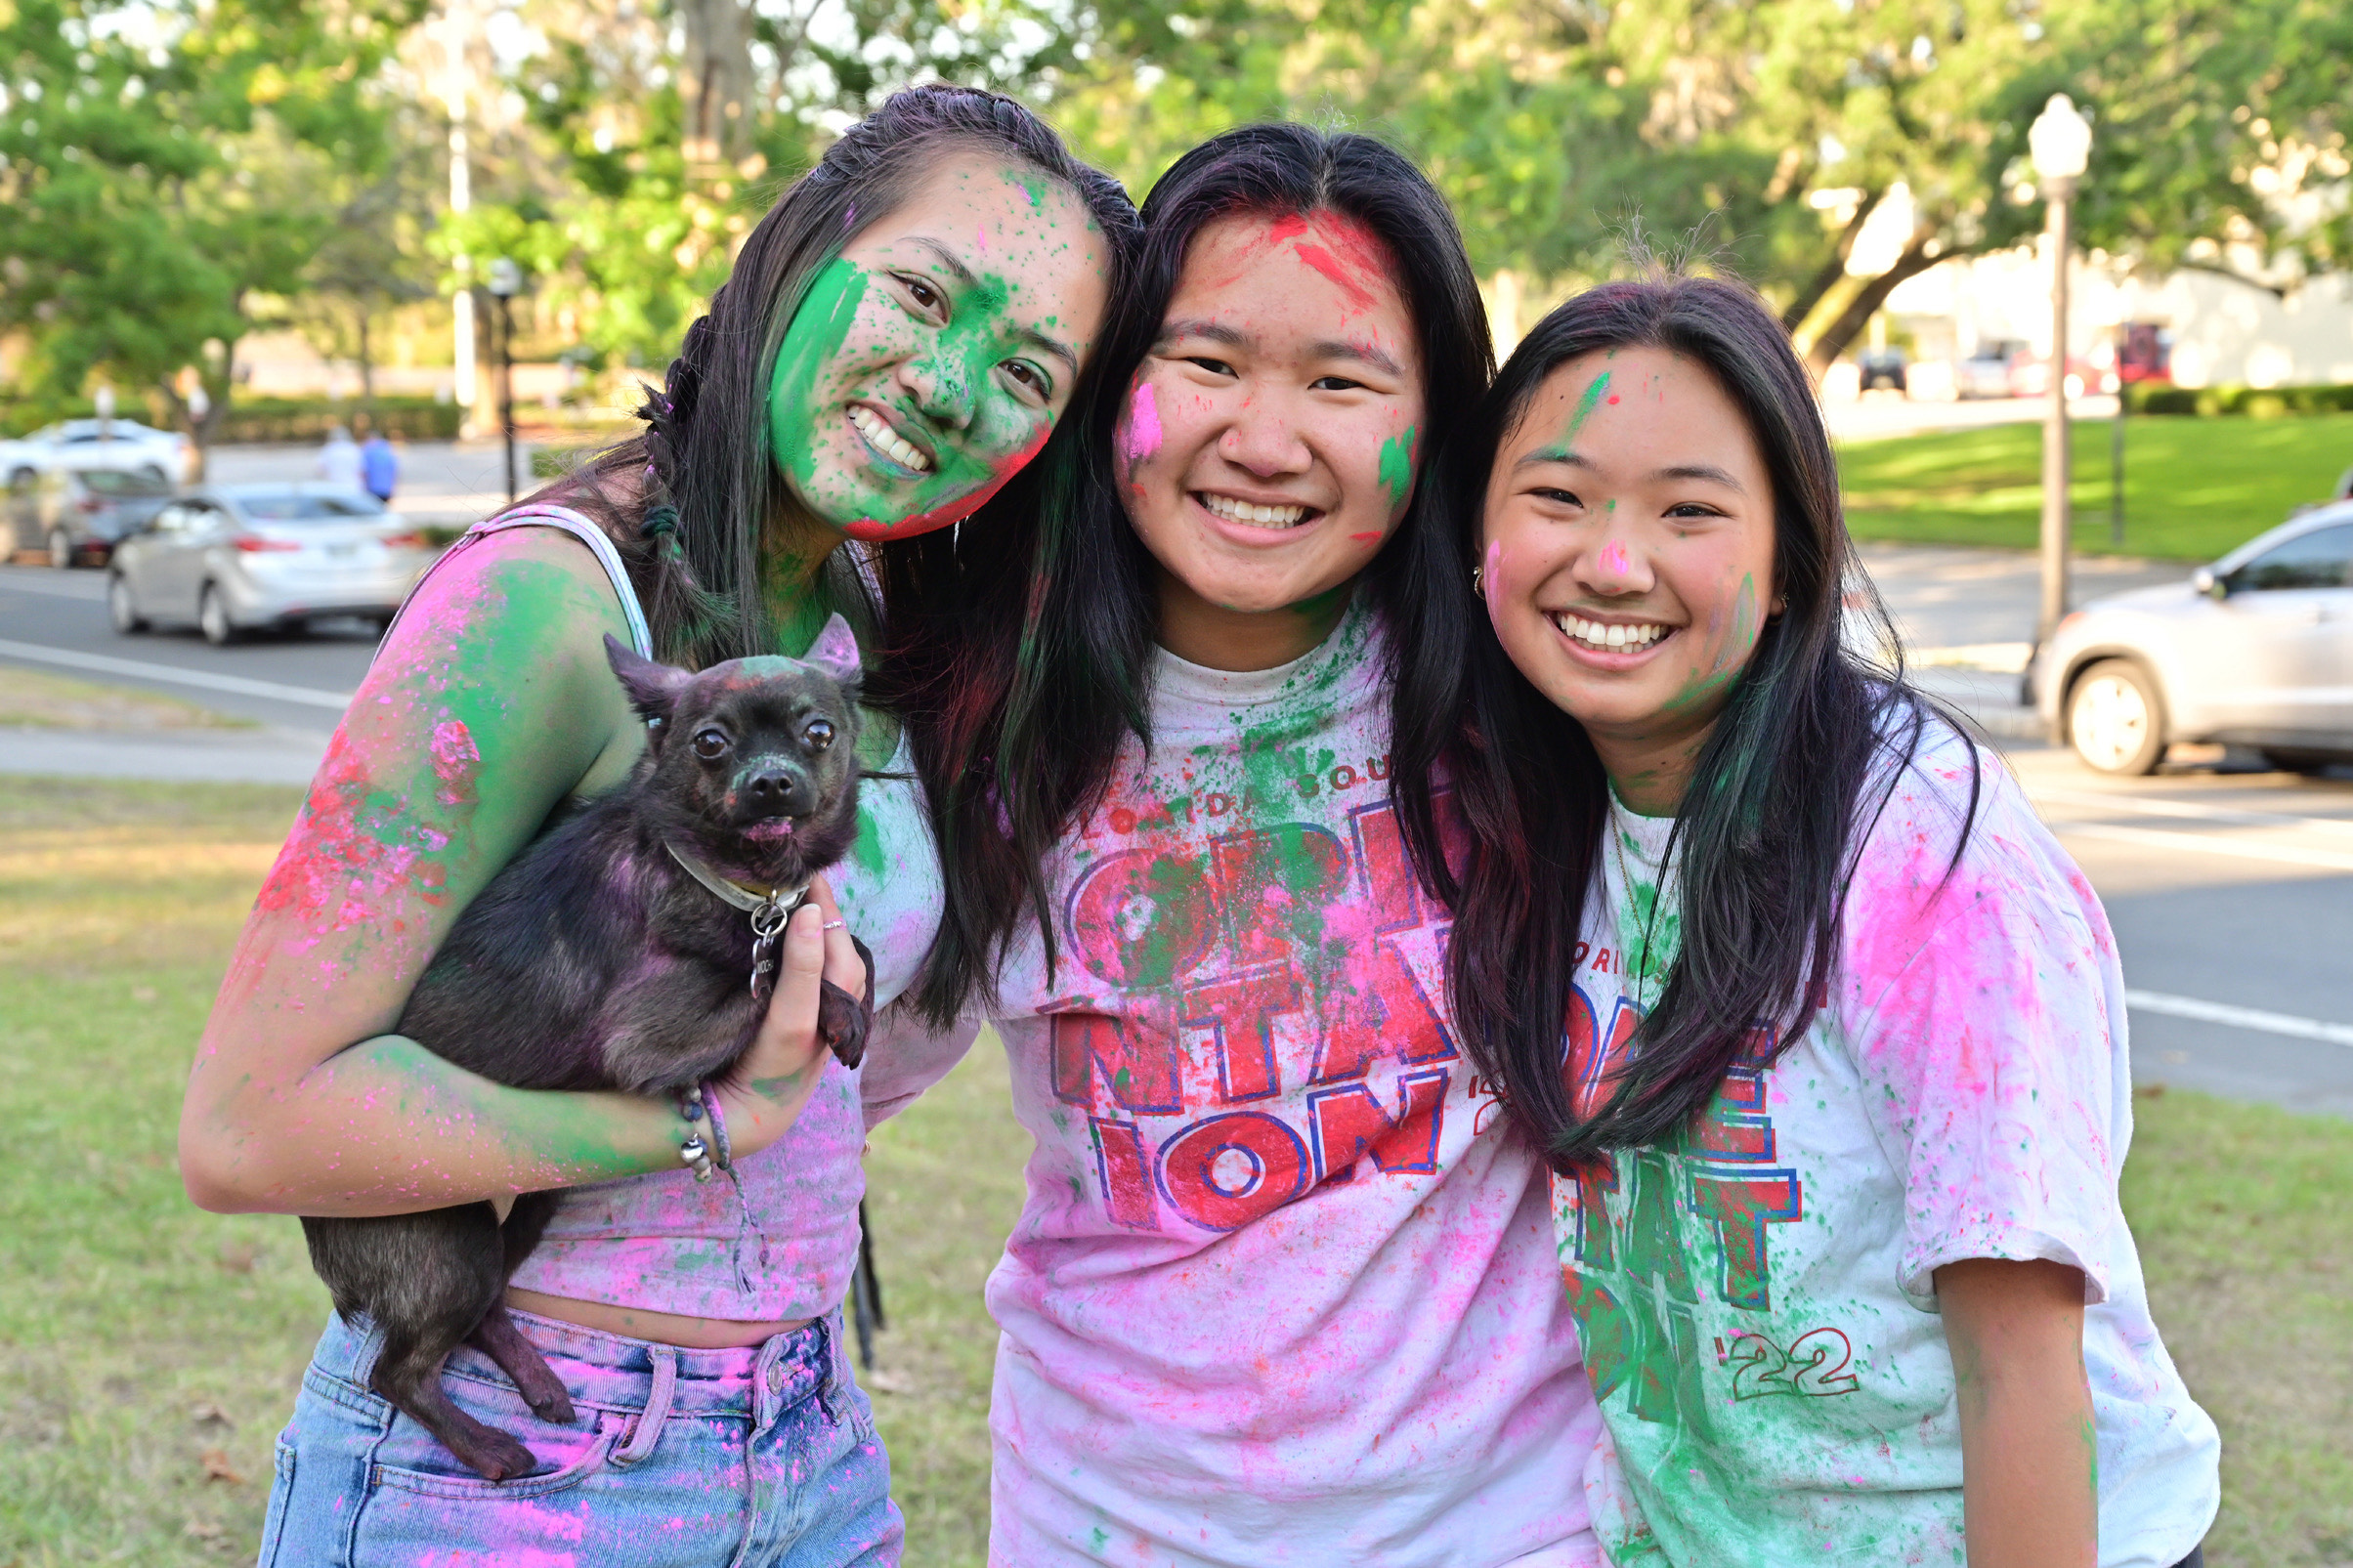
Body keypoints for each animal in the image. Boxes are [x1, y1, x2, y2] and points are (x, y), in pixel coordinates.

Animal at [301, 614, 874, 1481]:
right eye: (710, 743)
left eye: (819, 733)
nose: (771, 782)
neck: (733, 881)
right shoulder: (646, 1037)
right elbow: (769, 977)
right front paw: (835, 1006)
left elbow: (841, 945)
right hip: (451, 1246)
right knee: (396, 1369)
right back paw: (491, 1445)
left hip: (536, 1200)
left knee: (481, 1317)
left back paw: (539, 1384)